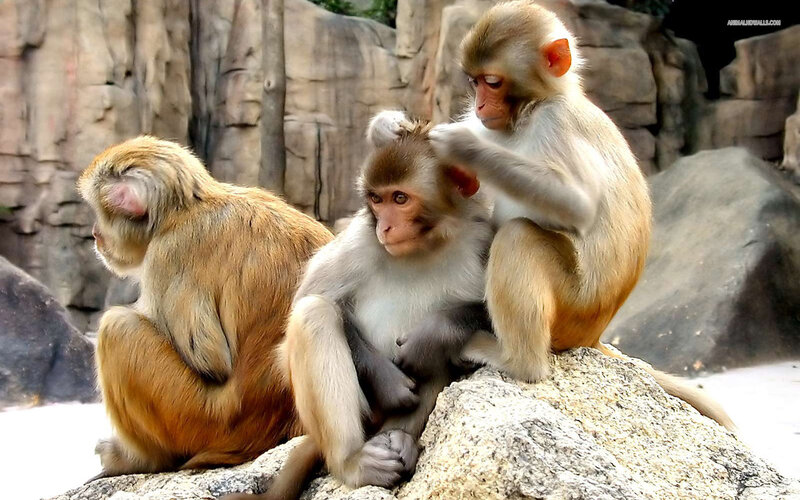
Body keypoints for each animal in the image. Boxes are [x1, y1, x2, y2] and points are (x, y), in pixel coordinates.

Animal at [77, 135, 334, 477]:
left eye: (99, 211)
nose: (95, 234)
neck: (185, 209)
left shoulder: (168, 254)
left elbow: (211, 361)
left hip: (201, 421)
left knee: (117, 328)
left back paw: (139, 459)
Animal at [220, 120, 495, 500]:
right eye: (376, 199)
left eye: (400, 198)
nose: (385, 226)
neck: (427, 245)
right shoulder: (359, 243)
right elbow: (308, 304)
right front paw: (389, 381)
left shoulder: (482, 238)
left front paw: (433, 333)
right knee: (314, 315)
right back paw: (353, 460)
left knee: (440, 356)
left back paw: (400, 437)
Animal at [366, 1, 734, 430]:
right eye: (474, 83)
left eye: (492, 83)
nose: (480, 106)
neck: (530, 110)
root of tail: (592, 337)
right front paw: (390, 126)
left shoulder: (556, 122)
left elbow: (577, 205)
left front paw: (463, 145)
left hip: (572, 311)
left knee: (518, 237)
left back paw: (516, 361)